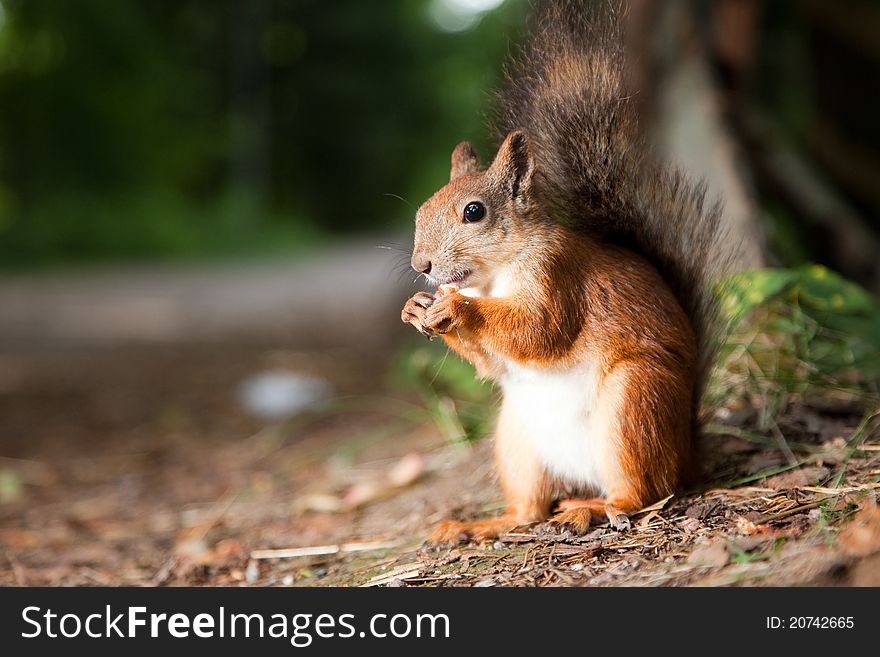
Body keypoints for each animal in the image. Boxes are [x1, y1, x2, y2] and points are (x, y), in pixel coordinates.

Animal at [402, 1, 724, 544]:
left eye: (474, 212)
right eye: (422, 210)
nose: (420, 266)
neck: (494, 277)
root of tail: (687, 453)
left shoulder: (559, 276)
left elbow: (540, 329)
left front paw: (457, 308)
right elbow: (493, 363)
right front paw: (416, 308)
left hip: (634, 402)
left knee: (644, 491)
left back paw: (589, 509)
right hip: (516, 440)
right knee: (529, 509)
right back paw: (483, 523)